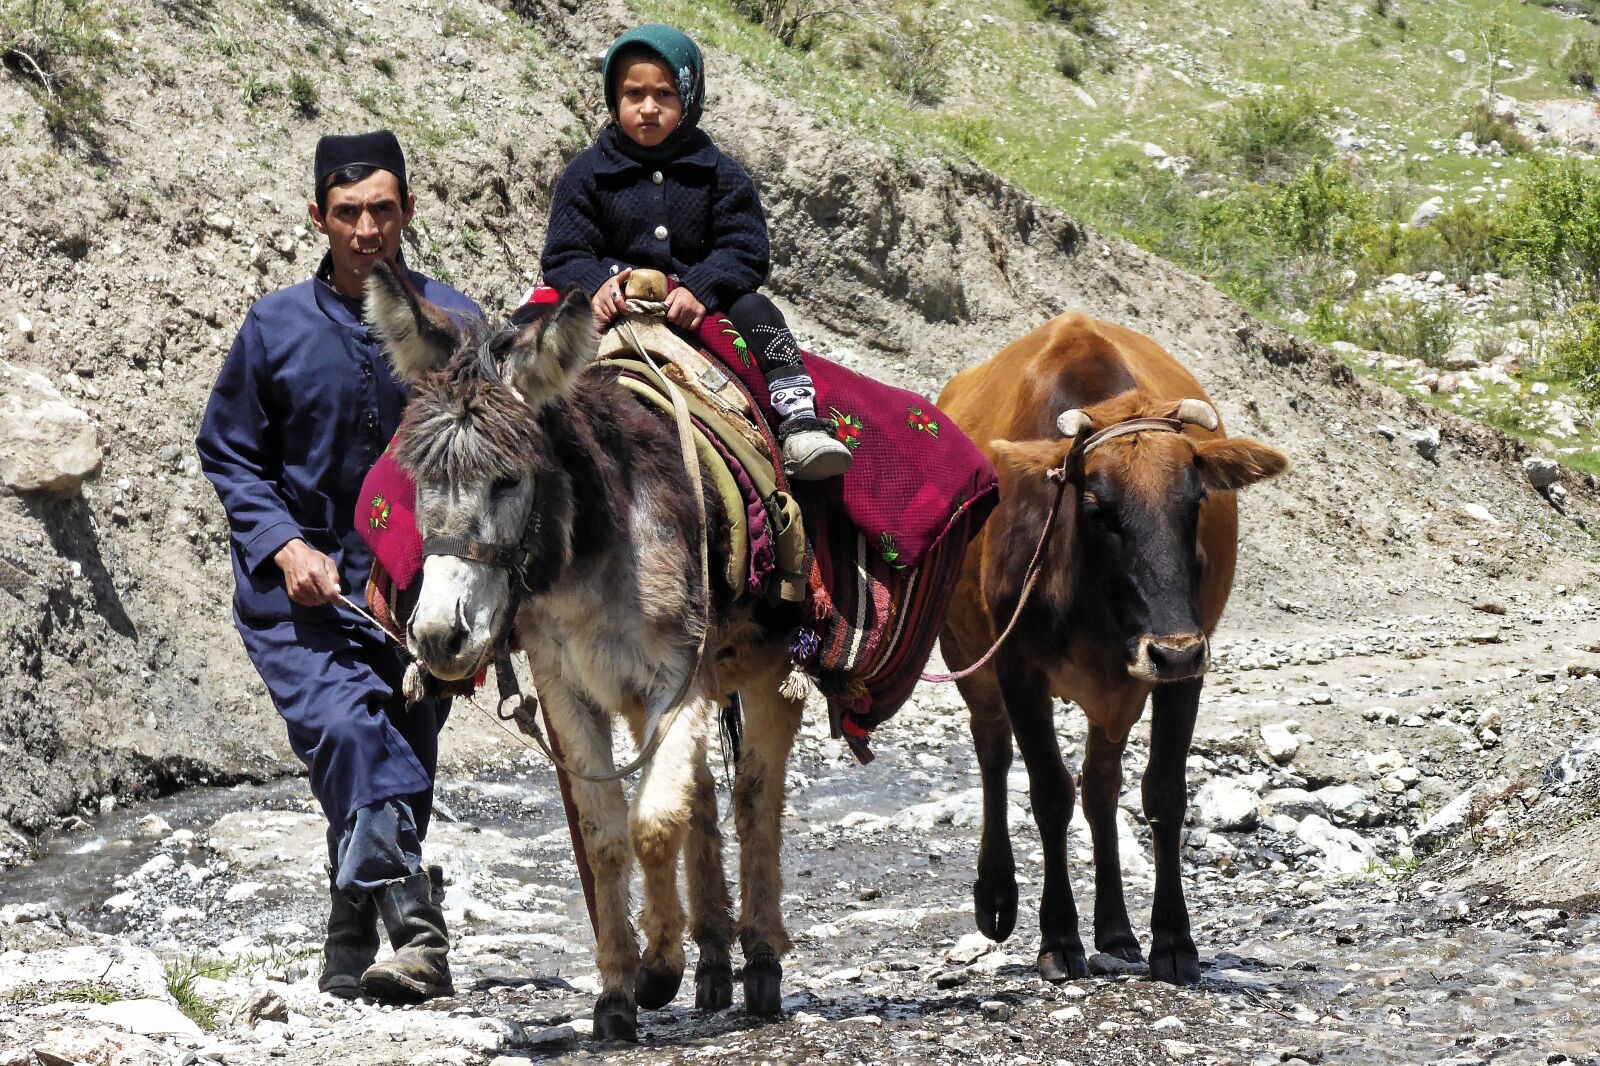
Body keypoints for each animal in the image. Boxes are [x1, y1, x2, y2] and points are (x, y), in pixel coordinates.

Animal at [934, 312, 1286, 985]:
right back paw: (996, 896)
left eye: (1195, 500)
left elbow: (1163, 793)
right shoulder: (1017, 666)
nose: (1170, 651)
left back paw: (1118, 931)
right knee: (993, 751)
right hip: (966, 656)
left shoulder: (1186, 667)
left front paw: (1172, 939)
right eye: (1099, 507)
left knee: (1100, 786)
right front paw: (1058, 938)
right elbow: (1049, 793)